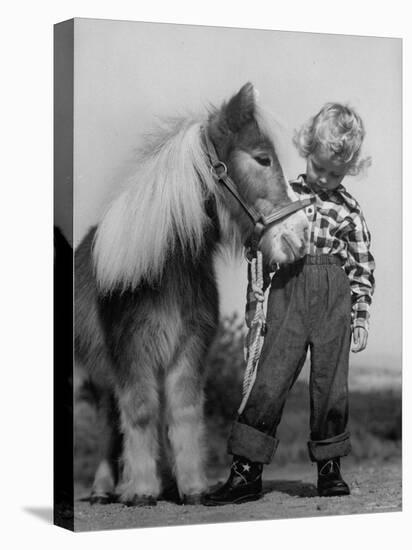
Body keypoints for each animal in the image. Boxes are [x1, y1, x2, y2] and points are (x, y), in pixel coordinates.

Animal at [75, 83, 310, 508]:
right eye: (263, 159)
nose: (300, 235)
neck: (163, 268)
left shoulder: (188, 348)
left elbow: (182, 413)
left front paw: (192, 486)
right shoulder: (132, 354)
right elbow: (140, 413)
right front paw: (140, 489)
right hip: (102, 375)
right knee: (110, 423)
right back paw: (104, 488)